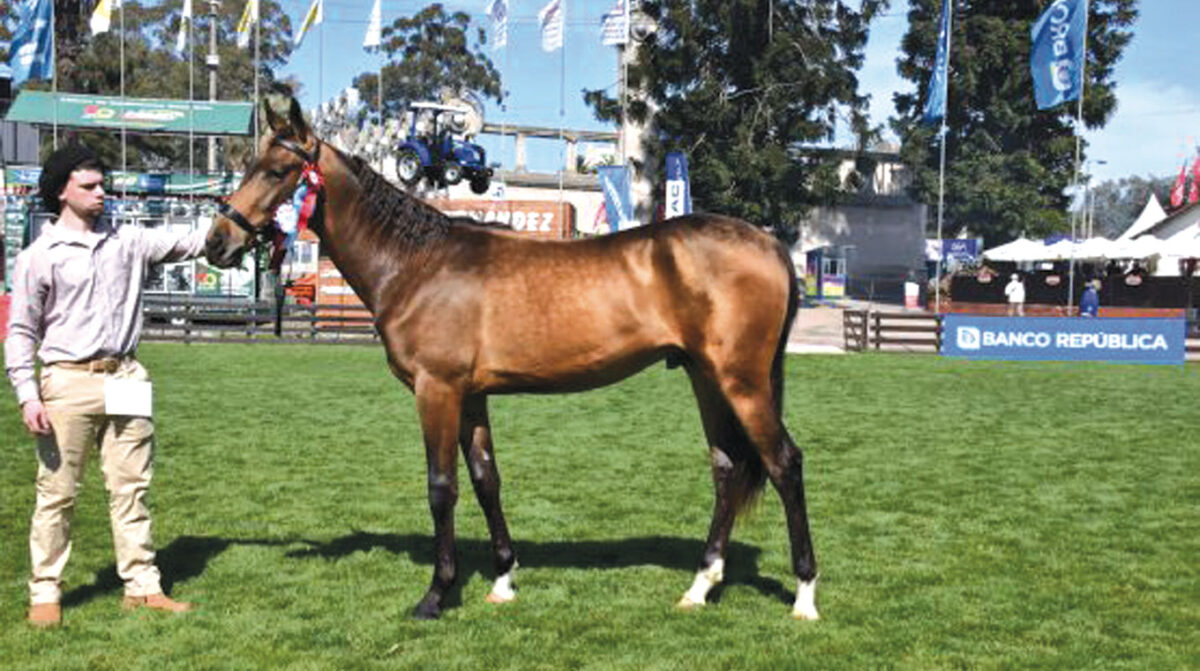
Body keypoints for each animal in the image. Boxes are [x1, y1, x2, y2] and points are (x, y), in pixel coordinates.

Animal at [204, 98, 819, 621]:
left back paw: (805, 594)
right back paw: (699, 586)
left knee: (784, 463)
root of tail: (769, 244)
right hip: (705, 377)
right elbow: (486, 479)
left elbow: (442, 487)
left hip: (742, 382)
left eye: (277, 171)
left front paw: (436, 594)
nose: (216, 242)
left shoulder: (437, 390)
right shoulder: (472, 395)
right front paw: (502, 579)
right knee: (726, 468)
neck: (417, 263)